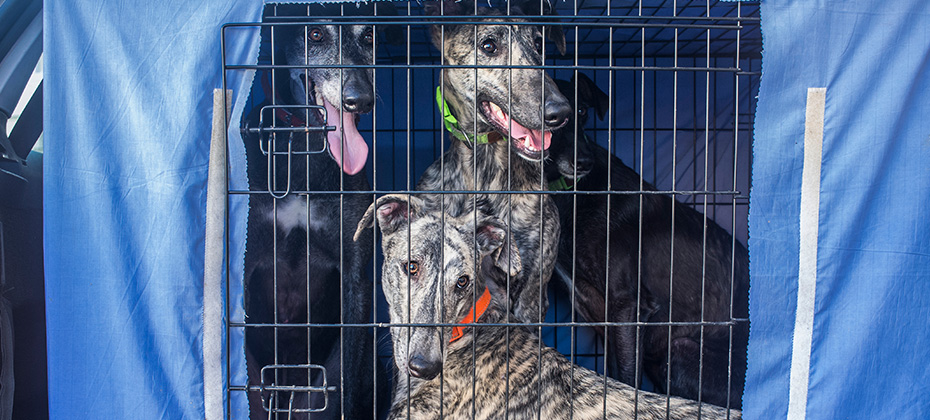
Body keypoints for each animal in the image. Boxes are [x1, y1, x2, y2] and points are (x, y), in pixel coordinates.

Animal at [239, 4, 396, 420]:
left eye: (369, 36)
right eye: (314, 34)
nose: (361, 99)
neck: (304, 146)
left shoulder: (354, 280)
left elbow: (347, 384)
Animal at [544, 74, 748, 408]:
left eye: (583, 110)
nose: (584, 161)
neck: (572, 191)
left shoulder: (629, 305)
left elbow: (628, 383)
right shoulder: (611, 324)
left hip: (679, 352)